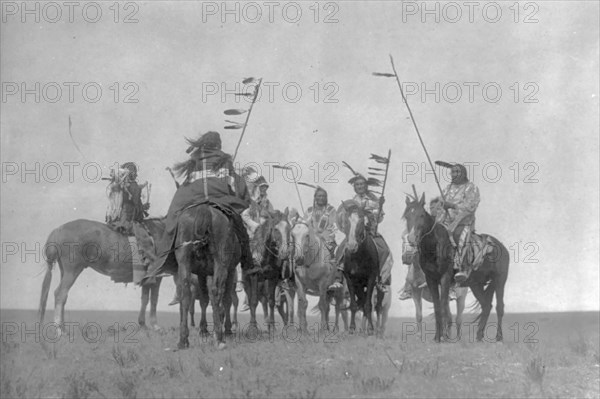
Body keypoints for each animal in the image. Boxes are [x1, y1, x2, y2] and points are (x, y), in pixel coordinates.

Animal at [332, 202, 380, 336]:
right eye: (346, 221)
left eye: (362, 220)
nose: (352, 246)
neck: (359, 257)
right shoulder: (350, 281)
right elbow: (353, 305)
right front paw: (352, 328)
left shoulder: (371, 279)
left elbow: (368, 304)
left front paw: (370, 328)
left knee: (364, 301)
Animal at [404, 195, 510, 344]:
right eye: (407, 216)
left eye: (421, 215)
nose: (412, 238)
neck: (435, 246)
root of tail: (500, 246)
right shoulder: (431, 280)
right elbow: (437, 308)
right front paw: (437, 337)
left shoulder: (445, 279)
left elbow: (444, 307)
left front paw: (443, 337)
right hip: (476, 284)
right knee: (486, 306)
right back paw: (479, 336)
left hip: (500, 280)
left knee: (499, 307)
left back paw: (499, 337)